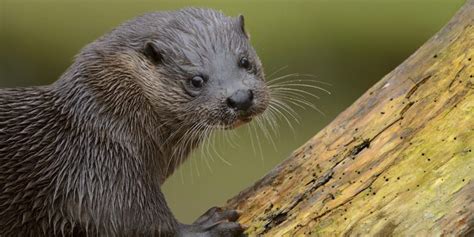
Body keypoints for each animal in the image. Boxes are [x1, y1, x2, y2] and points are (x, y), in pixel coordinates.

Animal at [0, 7, 266, 237]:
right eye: (196, 80)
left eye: (244, 61)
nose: (240, 98)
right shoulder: (99, 168)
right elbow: (130, 220)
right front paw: (204, 228)